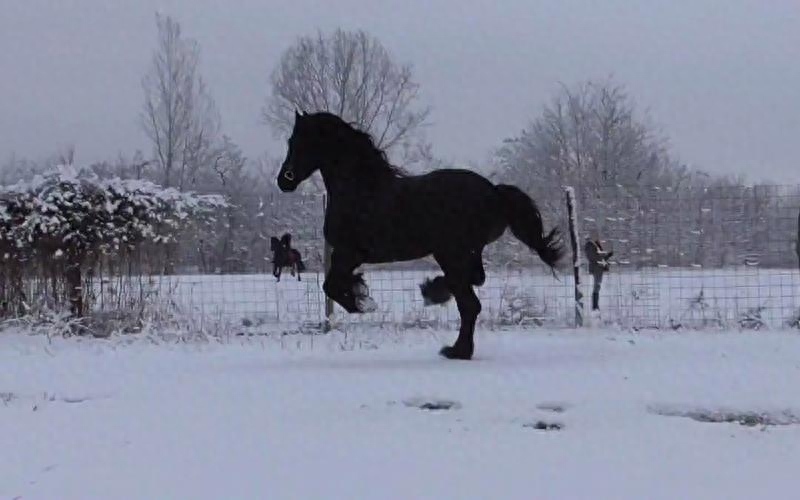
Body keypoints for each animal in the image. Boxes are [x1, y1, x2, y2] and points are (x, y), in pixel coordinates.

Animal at [278, 112, 564, 360]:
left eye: (297, 141)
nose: (284, 180)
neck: (360, 190)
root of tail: (495, 192)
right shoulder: (347, 255)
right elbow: (335, 283)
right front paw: (361, 291)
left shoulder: (349, 253)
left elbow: (332, 286)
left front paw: (362, 303)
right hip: (464, 252)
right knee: (474, 283)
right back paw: (437, 296)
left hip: (452, 252)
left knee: (470, 303)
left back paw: (455, 349)